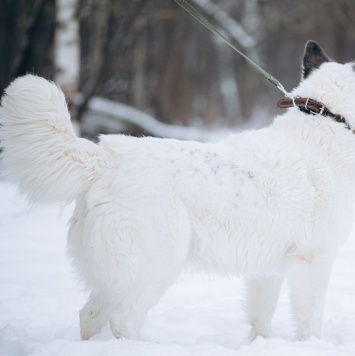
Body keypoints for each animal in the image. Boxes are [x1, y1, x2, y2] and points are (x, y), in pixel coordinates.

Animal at [0, 40, 355, 340]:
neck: (330, 123)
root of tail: (107, 157)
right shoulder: (315, 261)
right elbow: (309, 323)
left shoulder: (267, 271)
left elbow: (260, 321)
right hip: (158, 268)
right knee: (123, 319)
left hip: (116, 276)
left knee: (89, 315)